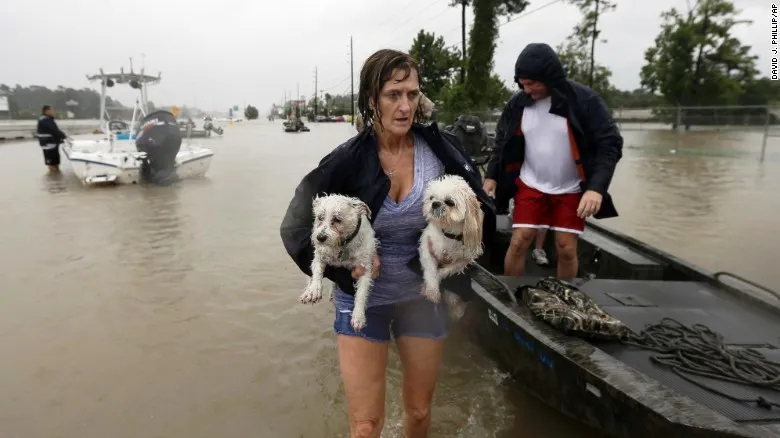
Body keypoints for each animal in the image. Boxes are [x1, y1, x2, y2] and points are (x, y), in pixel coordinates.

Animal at [298, 193, 378, 330]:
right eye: (320, 217)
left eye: (338, 219)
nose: (320, 237)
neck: (342, 244)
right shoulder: (319, 256)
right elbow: (317, 273)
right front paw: (313, 290)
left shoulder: (365, 268)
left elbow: (361, 294)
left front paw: (358, 316)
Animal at [418, 173, 484, 302]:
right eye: (431, 198)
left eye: (450, 202)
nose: (435, 203)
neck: (448, 234)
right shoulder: (426, 247)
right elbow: (430, 271)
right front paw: (432, 290)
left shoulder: (464, 259)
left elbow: (445, 270)